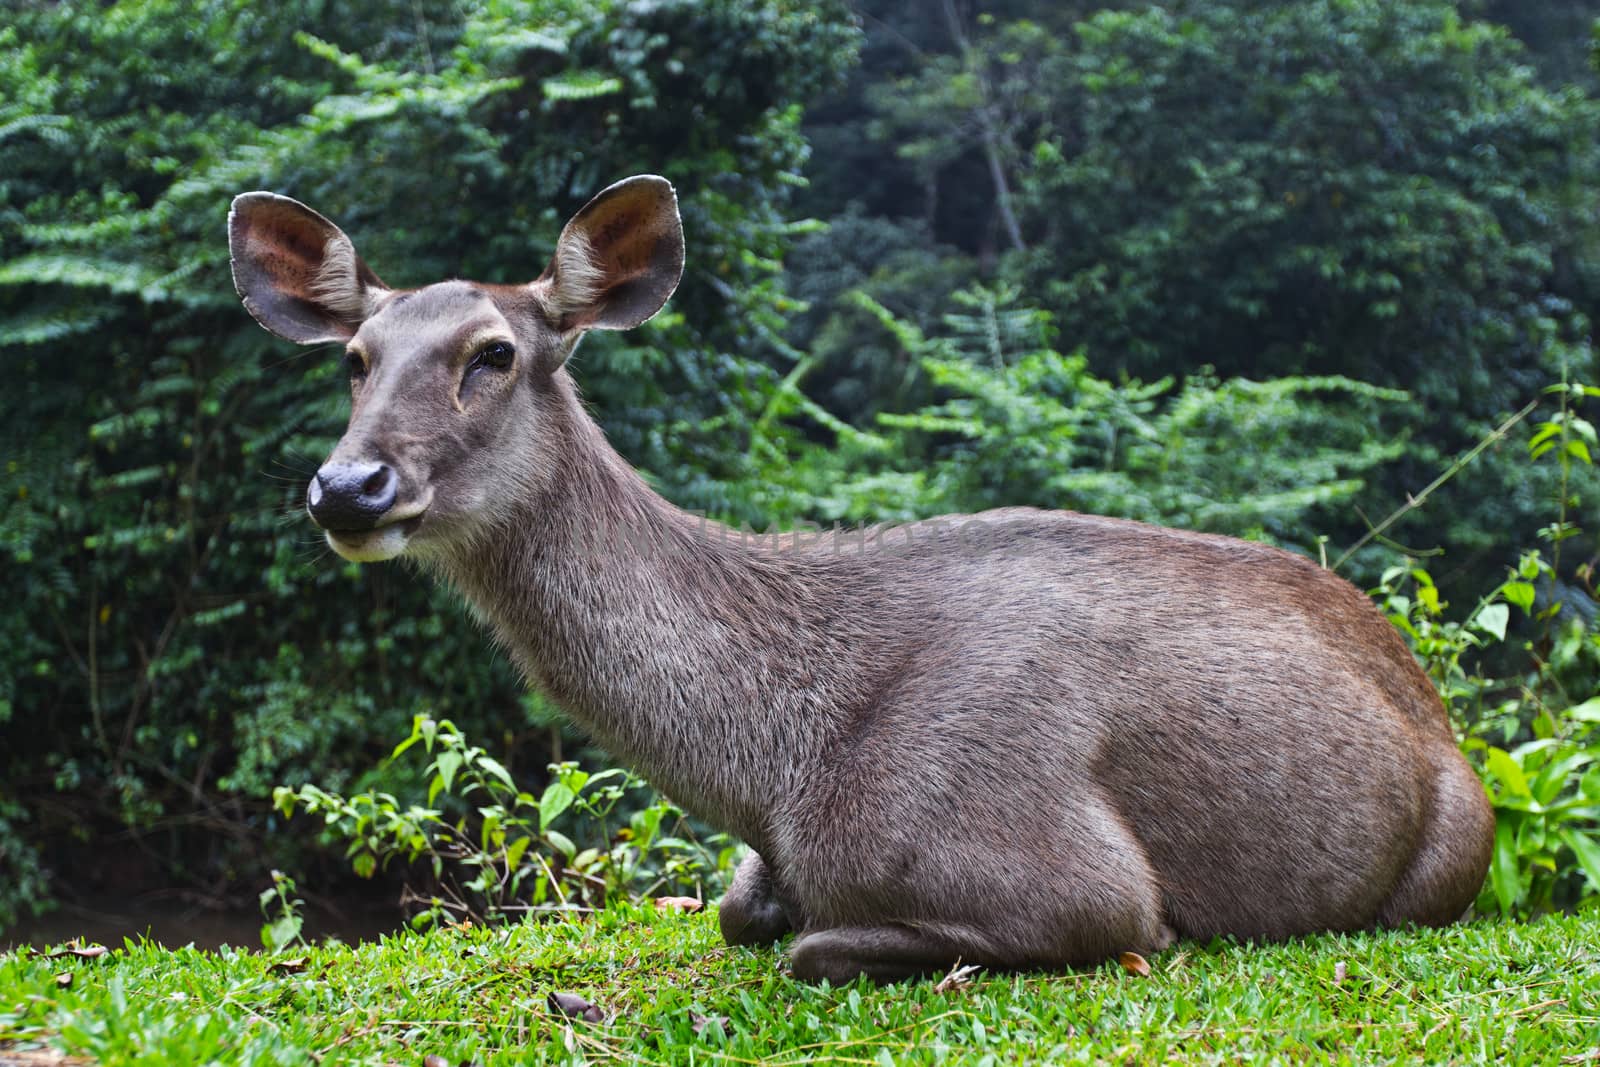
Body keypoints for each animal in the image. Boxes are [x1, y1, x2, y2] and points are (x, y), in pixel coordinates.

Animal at [228, 175, 1497, 985]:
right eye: (356, 358)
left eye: (491, 352)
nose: (348, 486)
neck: (773, 765)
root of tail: (1431, 706)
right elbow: (743, 911)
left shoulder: (1074, 879)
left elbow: (812, 946)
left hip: (1458, 846)